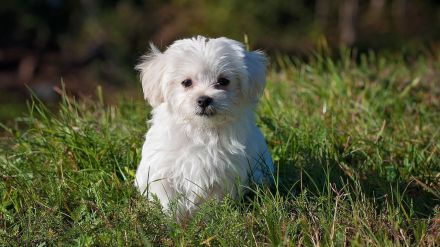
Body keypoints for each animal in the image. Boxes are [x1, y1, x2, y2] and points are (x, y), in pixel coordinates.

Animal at [135, 35, 272, 218]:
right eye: (186, 82)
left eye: (223, 81)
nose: (204, 99)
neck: (200, 130)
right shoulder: (163, 171)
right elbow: (168, 199)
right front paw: (173, 220)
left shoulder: (222, 175)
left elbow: (214, 200)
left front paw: (210, 218)